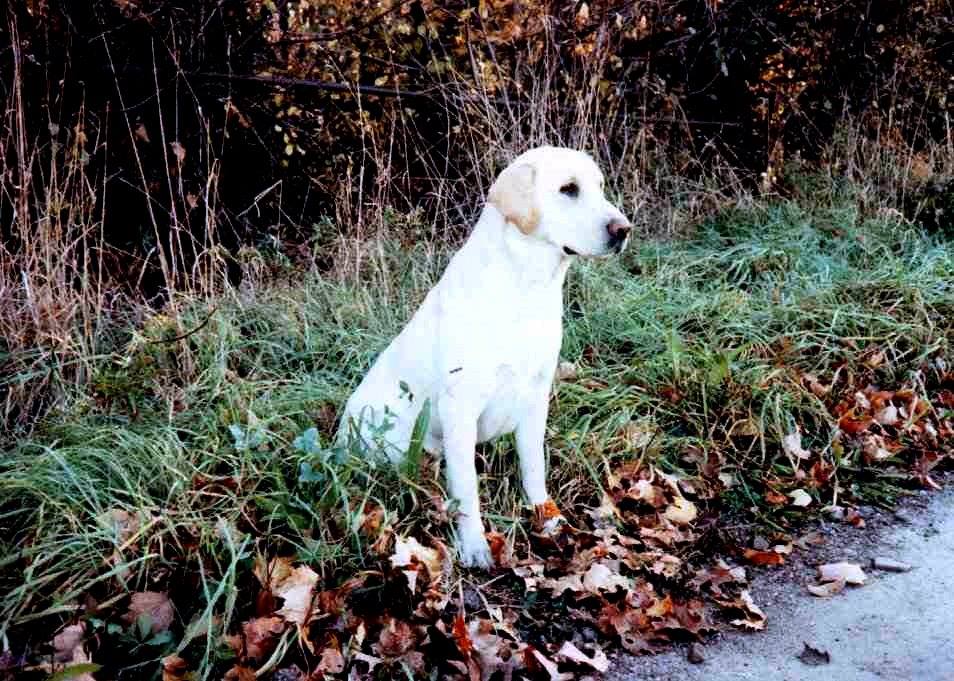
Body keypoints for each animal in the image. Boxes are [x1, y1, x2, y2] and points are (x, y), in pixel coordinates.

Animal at [338, 146, 628, 564]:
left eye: (600, 186)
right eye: (568, 189)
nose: (624, 229)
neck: (525, 287)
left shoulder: (536, 396)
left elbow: (534, 467)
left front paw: (547, 517)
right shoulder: (460, 408)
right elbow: (467, 491)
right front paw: (474, 546)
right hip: (399, 446)